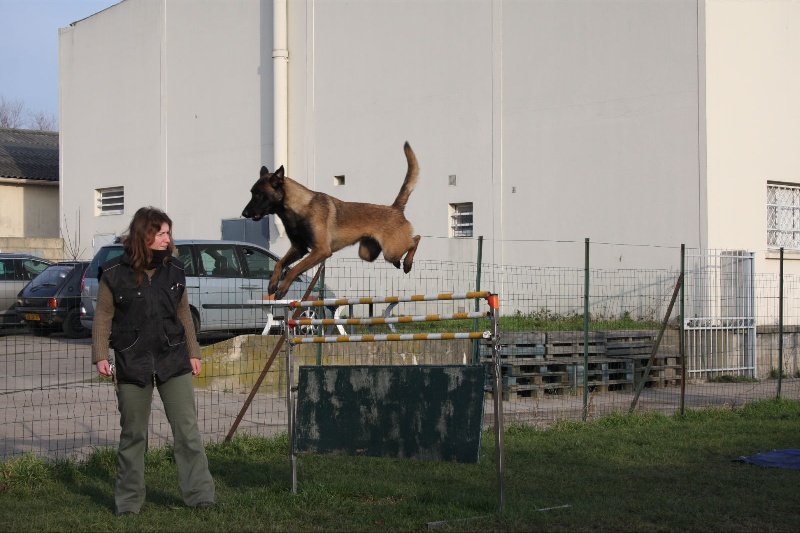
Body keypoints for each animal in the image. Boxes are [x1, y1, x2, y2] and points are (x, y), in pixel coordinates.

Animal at [241, 141, 422, 300]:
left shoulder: (321, 250)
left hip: (391, 250)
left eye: (258, 194)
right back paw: (400, 263)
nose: (244, 213)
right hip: (368, 253)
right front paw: (273, 284)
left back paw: (407, 263)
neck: (298, 207)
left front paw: (282, 289)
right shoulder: (299, 249)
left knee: (415, 239)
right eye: (252, 192)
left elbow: (294, 270)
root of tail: (395, 208)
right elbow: (280, 264)